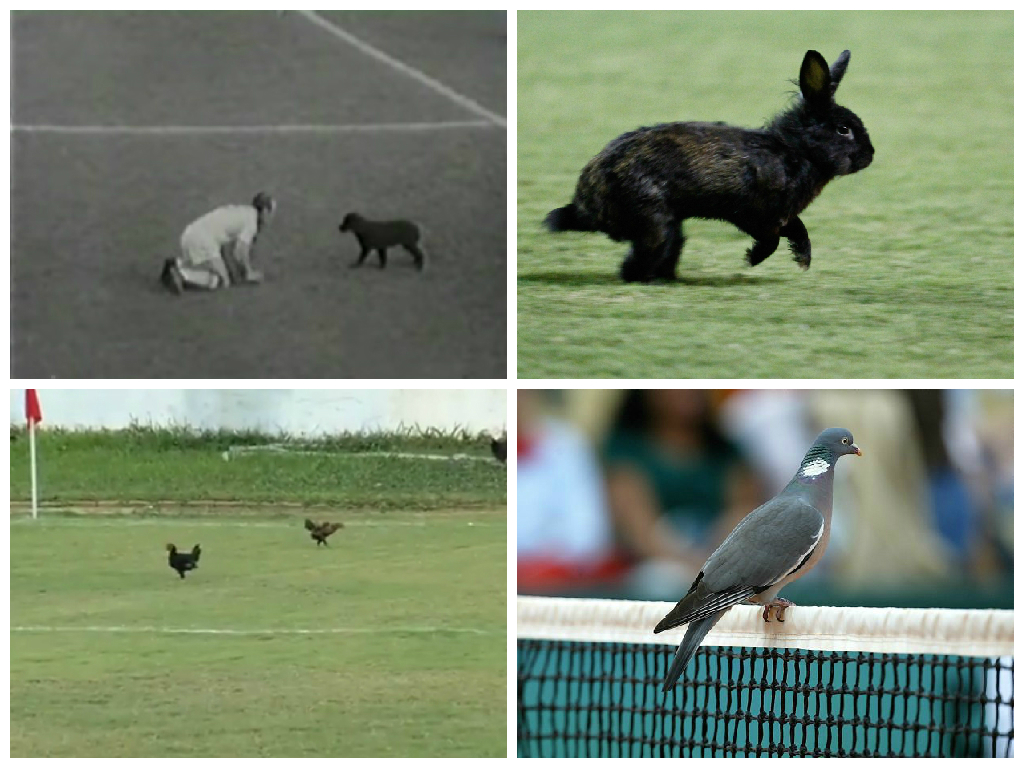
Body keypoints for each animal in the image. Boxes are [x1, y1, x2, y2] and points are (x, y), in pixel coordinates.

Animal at [544, 49, 872, 282]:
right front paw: (752, 259)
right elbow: (772, 238)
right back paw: (653, 280)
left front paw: (803, 259)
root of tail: (584, 206)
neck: (796, 150)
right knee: (638, 261)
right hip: (655, 221)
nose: (870, 155)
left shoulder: (780, 215)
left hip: (670, 227)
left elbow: (797, 229)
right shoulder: (754, 213)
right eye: (843, 130)